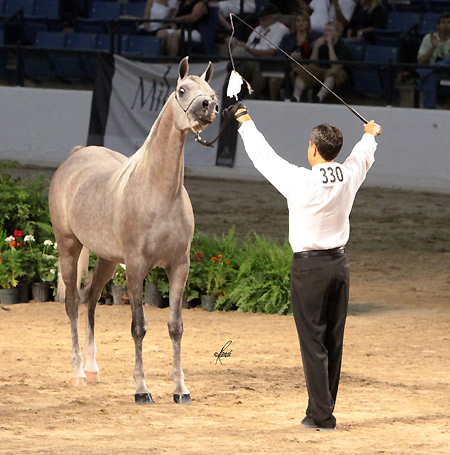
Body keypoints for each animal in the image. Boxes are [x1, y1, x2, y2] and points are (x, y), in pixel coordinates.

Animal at [49, 58, 218, 406]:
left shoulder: (179, 267)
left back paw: (93, 368)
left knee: (90, 297)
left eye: (211, 90)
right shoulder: (136, 268)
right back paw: (78, 373)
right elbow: (138, 326)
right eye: (183, 90)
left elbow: (176, 327)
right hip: (69, 248)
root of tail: (76, 156)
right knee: (72, 303)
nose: (209, 107)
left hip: (107, 259)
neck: (158, 192)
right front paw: (142, 390)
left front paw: (181, 390)